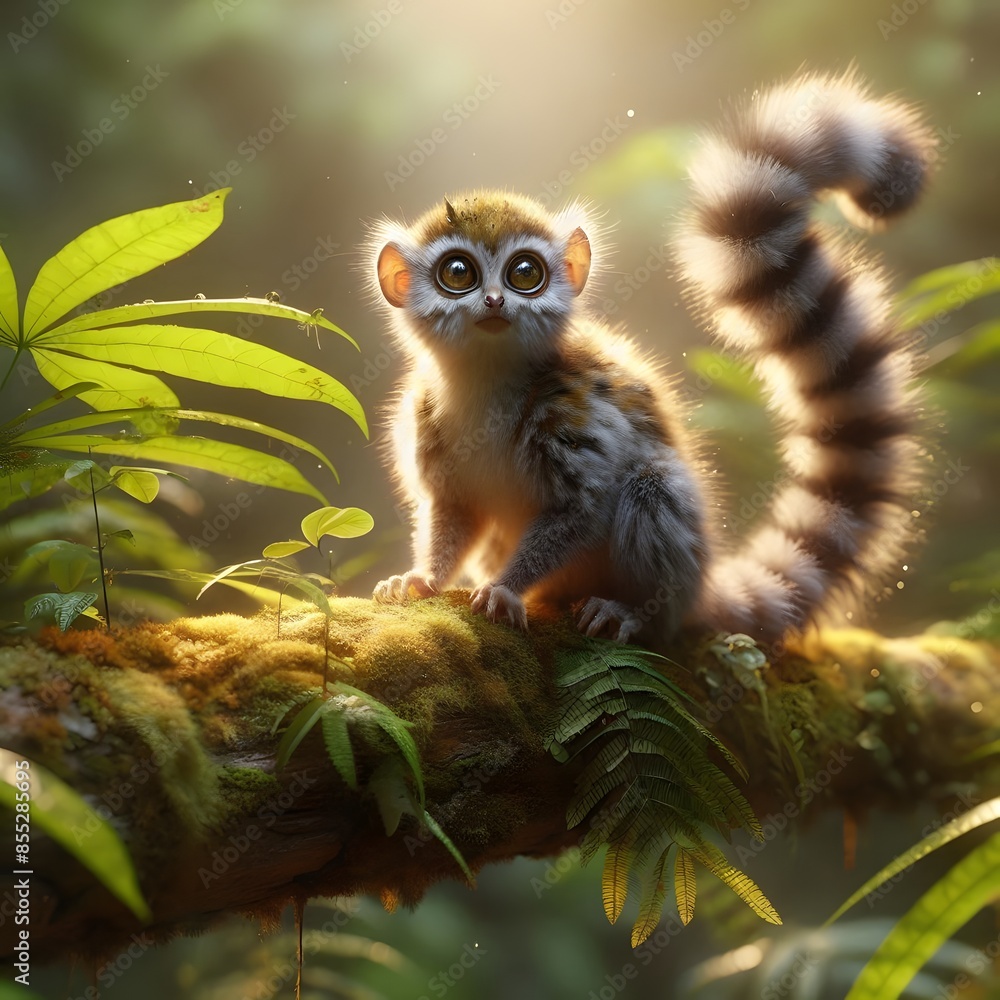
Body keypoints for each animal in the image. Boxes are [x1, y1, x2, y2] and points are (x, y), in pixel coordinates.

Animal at [368, 71, 934, 647]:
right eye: (457, 272)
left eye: (525, 274)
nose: (494, 302)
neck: (487, 381)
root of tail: (700, 590)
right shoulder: (426, 414)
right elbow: (454, 508)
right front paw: (424, 578)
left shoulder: (569, 407)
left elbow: (584, 505)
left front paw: (506, 589)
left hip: (677, 569)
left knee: (651, 484)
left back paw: (636, 613)